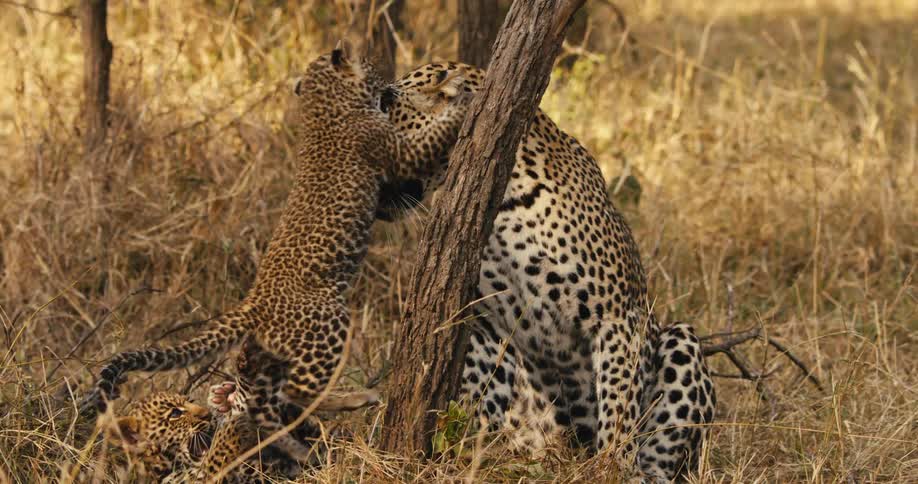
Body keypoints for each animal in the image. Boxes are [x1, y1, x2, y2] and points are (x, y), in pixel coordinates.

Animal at [80, 45, 452, 466]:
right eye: (372, 66)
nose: (389, 84)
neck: (323, 105)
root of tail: (253, 304)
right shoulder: (394, 148)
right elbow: (430, 138)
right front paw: (459, 105)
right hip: (328, 322)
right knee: (297, 392)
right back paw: (357, 399)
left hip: (276, 354)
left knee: (268, 401)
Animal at [378, 62, 716, 482]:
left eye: (386, 102)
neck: (506, 203)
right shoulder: (487, 324)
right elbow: (478, 391)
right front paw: (462, 451)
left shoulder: (620, 317)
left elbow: (618, 406)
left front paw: (611, 468)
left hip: (680, 341)